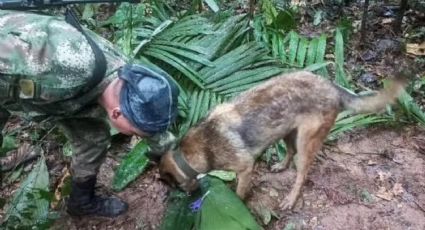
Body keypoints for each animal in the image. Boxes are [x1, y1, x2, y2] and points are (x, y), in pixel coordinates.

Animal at [158, 71, 404, 209]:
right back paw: (280, 166)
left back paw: (291, 199)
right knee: (290, 151)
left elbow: (239, 193)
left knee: (302, 173)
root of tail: (333, 87)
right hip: (287, 130)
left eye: (175, 186)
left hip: (306, 142)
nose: (191, 196)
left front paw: (238, 203)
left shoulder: (245, 168)